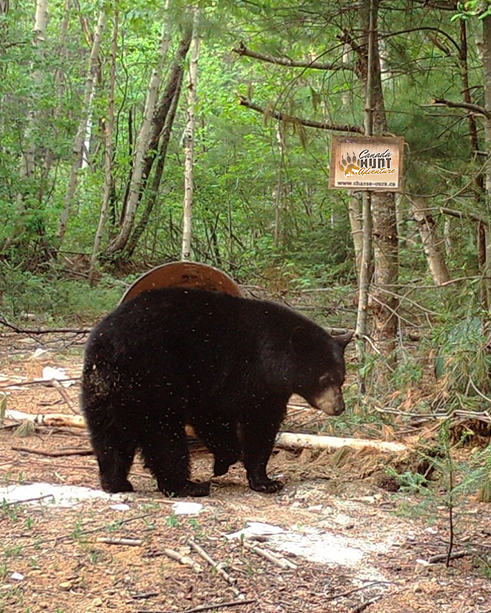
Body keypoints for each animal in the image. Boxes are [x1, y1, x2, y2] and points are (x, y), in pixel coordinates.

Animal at [80, 288, 352, 498]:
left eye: (342, 378)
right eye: (324, 378)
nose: (339, 407)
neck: (274, 357)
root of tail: (108, 347)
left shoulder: (266, 388)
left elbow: (255, 426)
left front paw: (259, 478)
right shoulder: (236, 373)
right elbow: (230, 419)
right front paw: (231, 464)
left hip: (105, 391)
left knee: (110, 436)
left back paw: (116, 482)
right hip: (154, 379)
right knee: (164, 436)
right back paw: (187, 485)